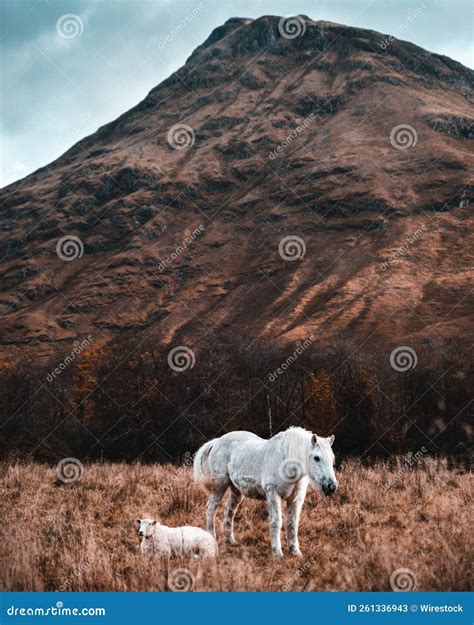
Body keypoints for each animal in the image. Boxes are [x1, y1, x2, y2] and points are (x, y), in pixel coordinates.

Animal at [193, 428, 336, 556]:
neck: (286, 462)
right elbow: (276, 521)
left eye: (332, 458)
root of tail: (217, 441)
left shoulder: (295, 499)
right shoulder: (273, 495)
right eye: (316, 458)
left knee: (229, 511)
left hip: (236, 491)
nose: (331, 487)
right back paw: (212, 538)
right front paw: (277, 552)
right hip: (220, 485)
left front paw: (295, 551)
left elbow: (292, 523)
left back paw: (231, 541)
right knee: (211, 508)